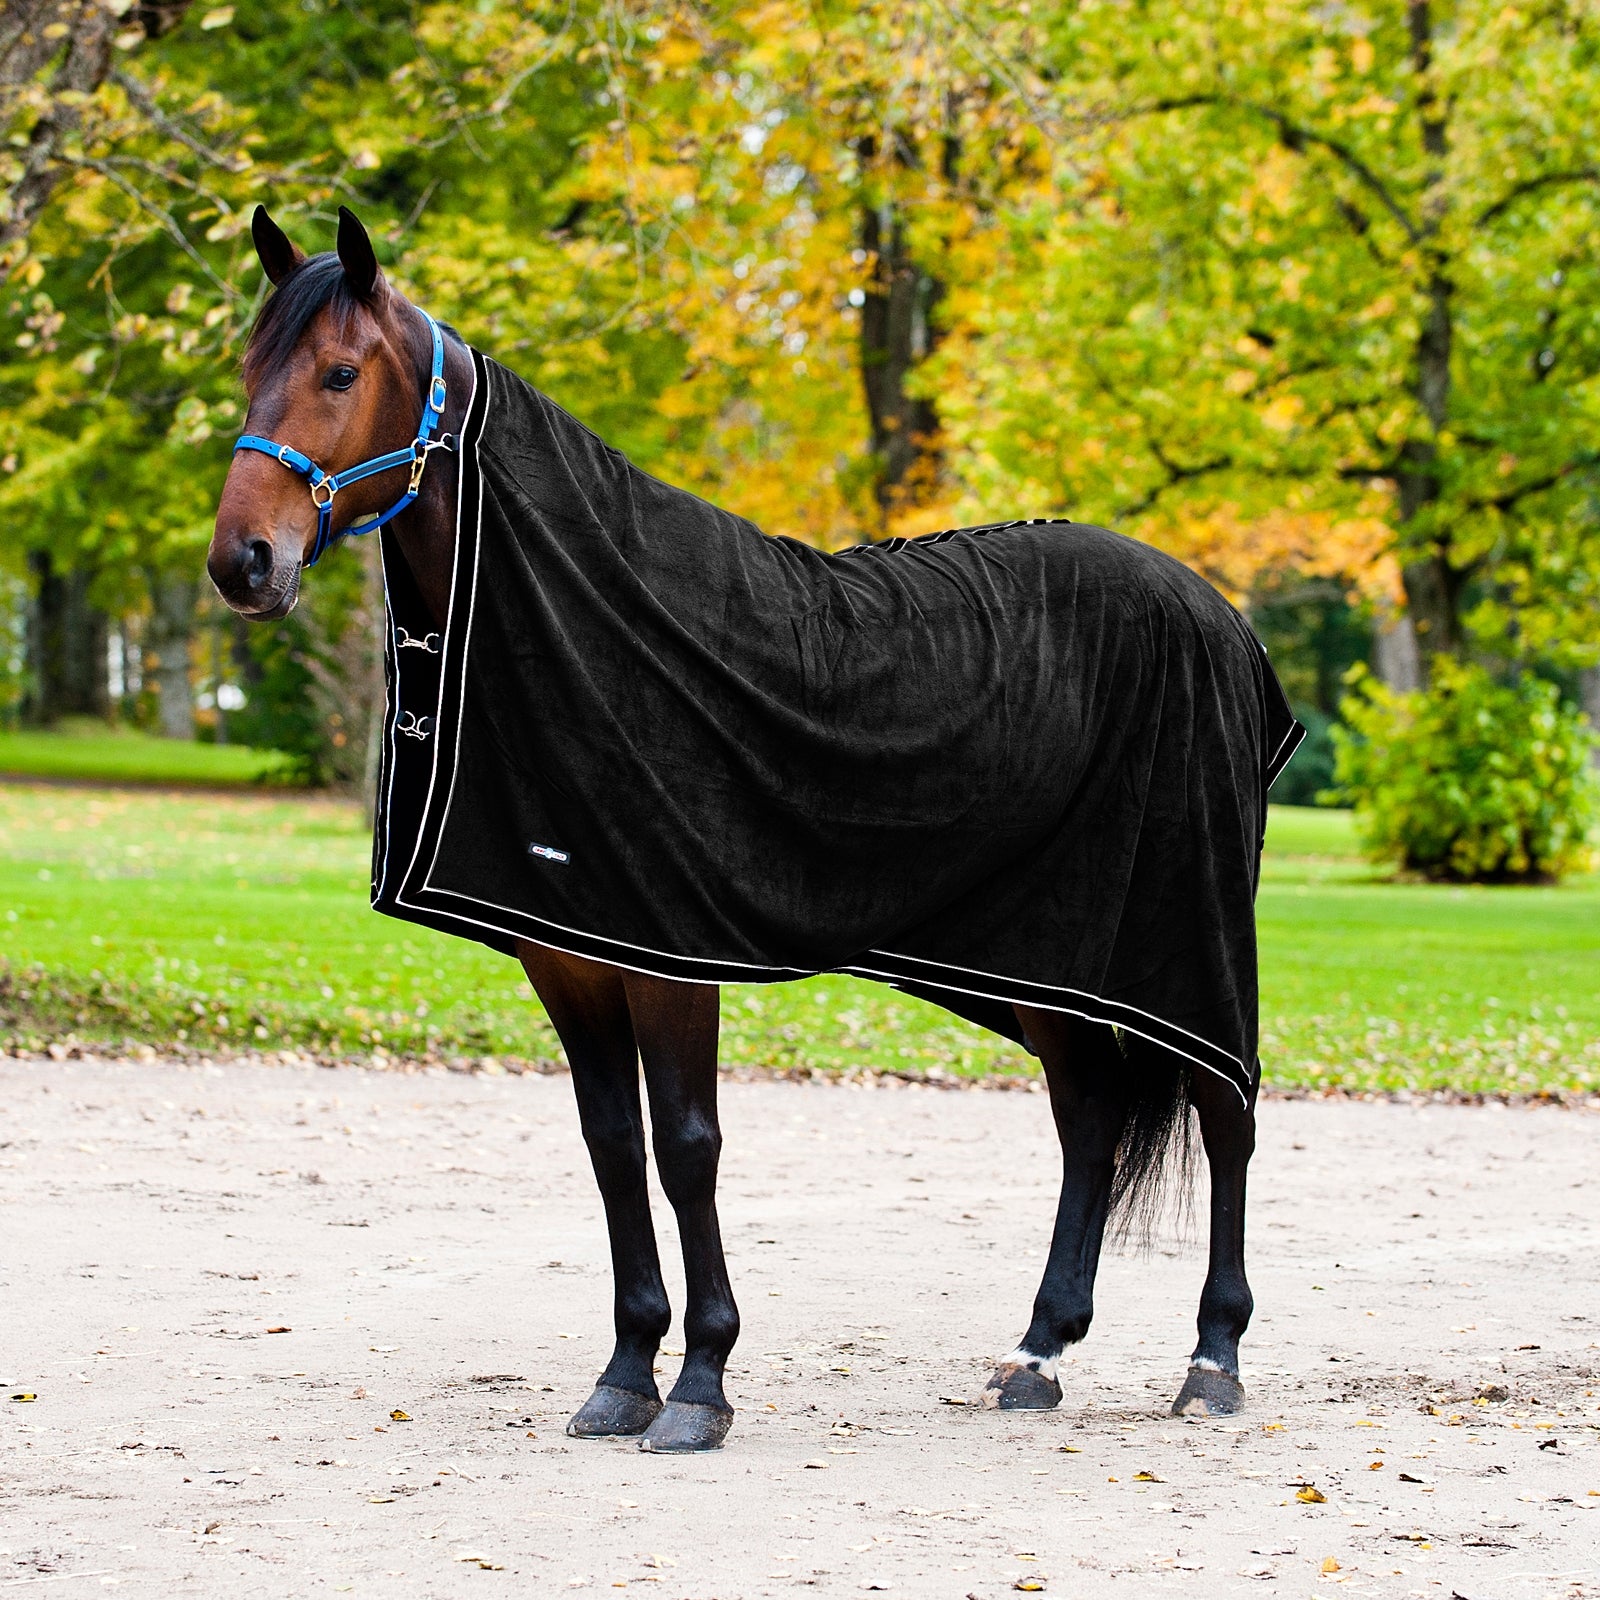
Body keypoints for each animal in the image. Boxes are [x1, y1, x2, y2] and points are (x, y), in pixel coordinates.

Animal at [208, 205, 1299, 1455]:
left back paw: (1213, 1357)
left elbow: (688, 1149)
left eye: (340, 372)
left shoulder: (670, 953)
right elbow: (612, 1147)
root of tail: (1220, 615)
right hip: (1058, 955)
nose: (243, 561)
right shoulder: (568, 956)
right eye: (249, 369)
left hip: (1190, 935)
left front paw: (699, 1384)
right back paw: (1036, 1353)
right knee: (1092, 1117)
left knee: (1225, 1111)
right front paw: (625, 1371)